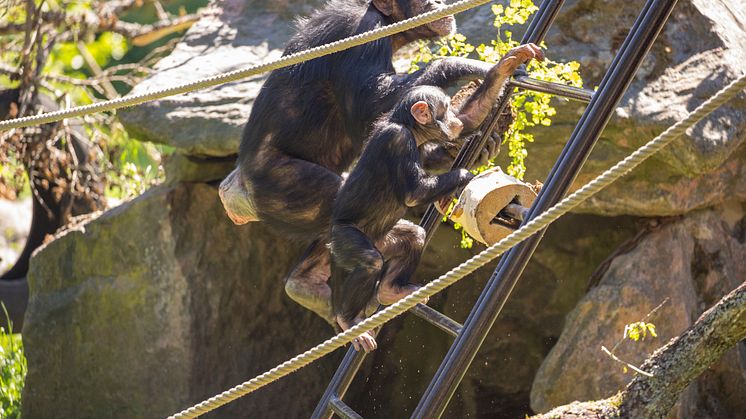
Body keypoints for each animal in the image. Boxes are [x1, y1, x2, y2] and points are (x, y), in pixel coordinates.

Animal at [230, 0, 544, 324]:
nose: (438, 3)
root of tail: (238, 187)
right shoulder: (364, 34)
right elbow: (375, 102)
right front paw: (473, 66)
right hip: (284, 187)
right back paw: (318, 289)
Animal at [328, 84, 474, 352]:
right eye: (447, 107)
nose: (455, 118)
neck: (410, 128)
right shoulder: (398, 141)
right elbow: (414, 193)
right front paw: (464, 175)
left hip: (386, 241)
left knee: (414, 236)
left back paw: (390, 291)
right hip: (344, 239)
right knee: (370, 261)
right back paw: (348, 320)